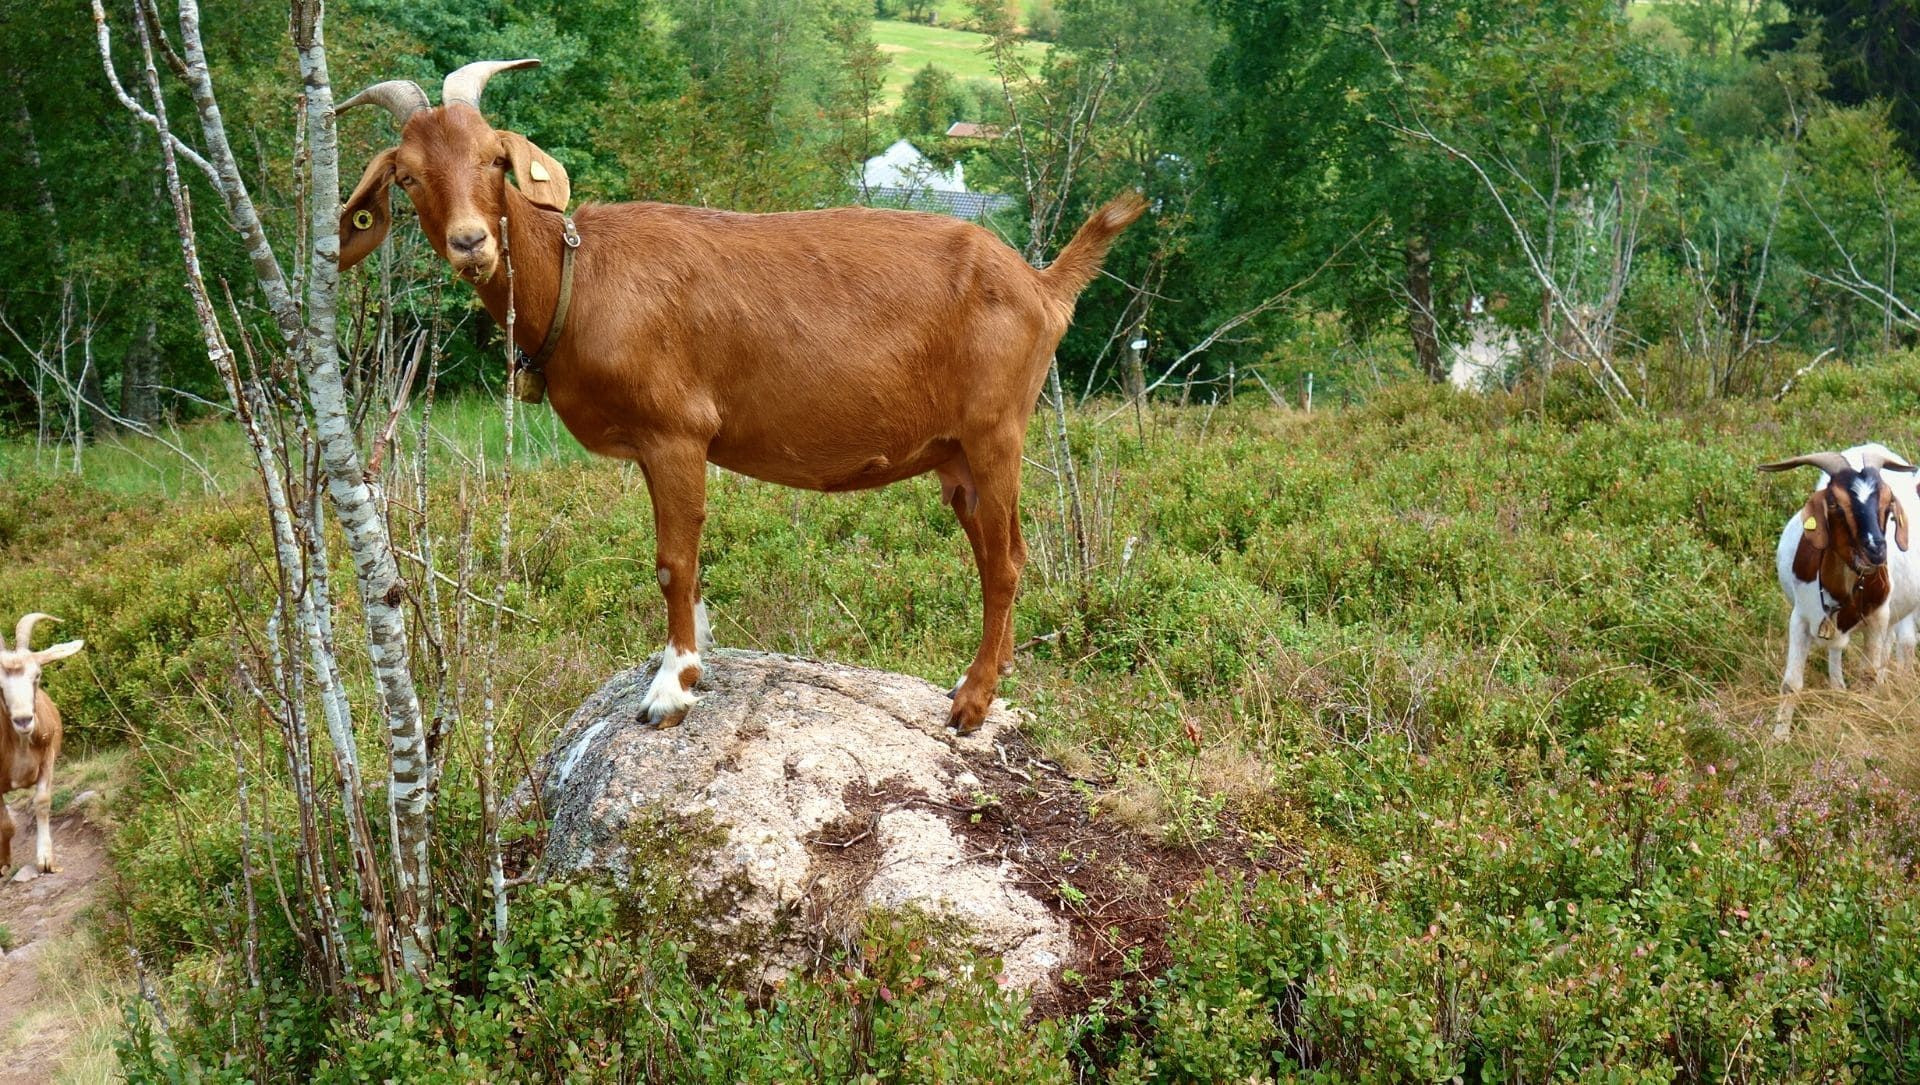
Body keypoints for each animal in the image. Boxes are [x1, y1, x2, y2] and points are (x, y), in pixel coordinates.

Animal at [0, 614, 79, 876]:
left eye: (37, 675)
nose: (23, 720)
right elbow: (6, 823)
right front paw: (3, 862)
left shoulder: (48, 756)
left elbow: (42, 802)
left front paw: (46, 860)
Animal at [337, 61, 1147, 733]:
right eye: (408, 177)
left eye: (494, 160)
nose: (472, 243)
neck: (581, 277)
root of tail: (1043, 284)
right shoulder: (658, 447)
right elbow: (685, 556)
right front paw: (692, 655)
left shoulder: (677, 430)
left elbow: (673, 558)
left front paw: (672, 687)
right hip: (956, 454)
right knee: (1000, 549)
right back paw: (987, 675)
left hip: (996, 429)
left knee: (1006, 562)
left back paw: (972, 705)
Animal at [1760, 443, 1920, 738]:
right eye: (1834, 503)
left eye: (1888, 503)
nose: (1876, 550)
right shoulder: (1800, 617)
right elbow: (1791, 683)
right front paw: (1778, 738)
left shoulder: (1878, 617)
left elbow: (1869, 674)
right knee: (1837, 649)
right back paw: (1837, 686)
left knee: (1895, 646)